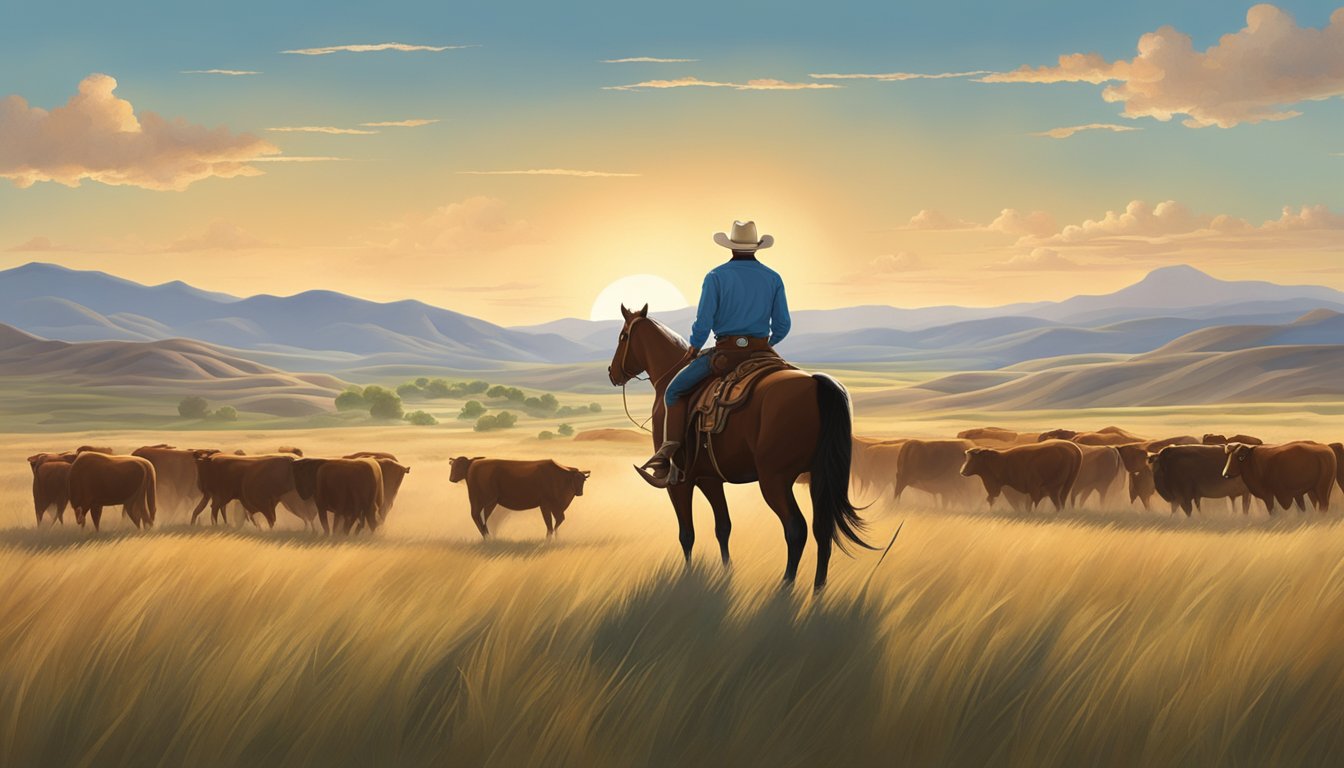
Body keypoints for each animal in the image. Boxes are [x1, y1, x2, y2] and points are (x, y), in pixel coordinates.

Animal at [451, 459, 588, 538]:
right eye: (576, 479)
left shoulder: (555, 508)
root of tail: (473, 465)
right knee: (480, 517)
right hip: (487, 501)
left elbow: (557, 522)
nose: (580, 493)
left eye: (583, 480)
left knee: (479, 518)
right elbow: (551, 524)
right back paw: (488, 537)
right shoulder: (546, 505)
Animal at [610, 303, 870, 591]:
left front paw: (687, 577)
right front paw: (725, 574)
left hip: (774, 479)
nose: (612, 373)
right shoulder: (710, 478)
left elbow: (686, 534)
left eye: (623, 336)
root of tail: (815, 382)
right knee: (822, 529)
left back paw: (785, 587)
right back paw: (818, 590)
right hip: (818, 475)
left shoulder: (678, 481)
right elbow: (723, 527)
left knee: (796, 529)